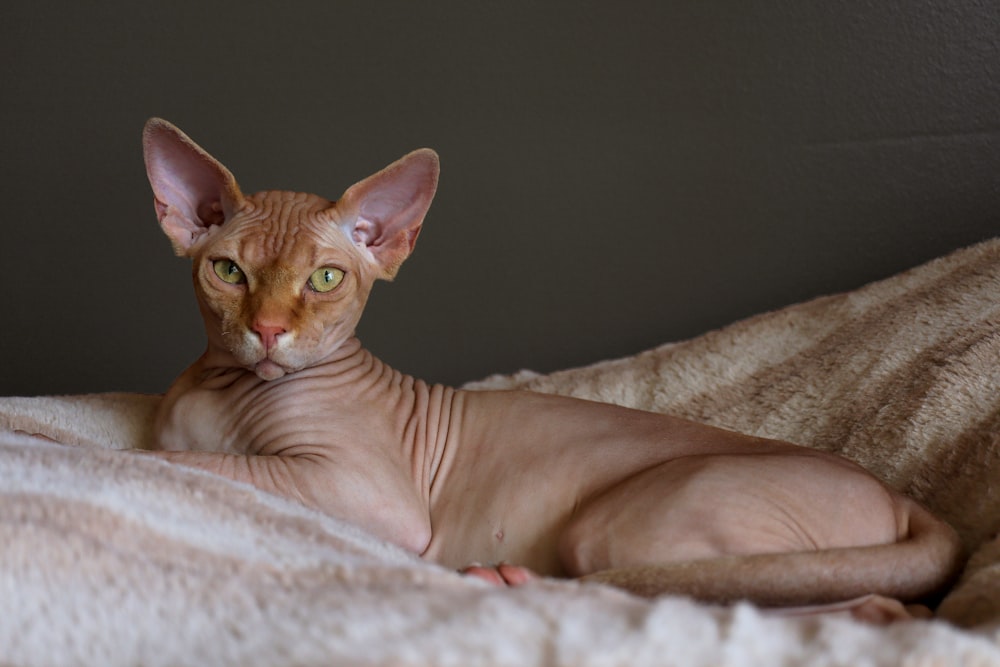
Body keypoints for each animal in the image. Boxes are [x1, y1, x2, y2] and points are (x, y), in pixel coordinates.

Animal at [141, 118, 960, 616]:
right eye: (228, 272)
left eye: (326, 279)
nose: (268, 330)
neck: (231, 389)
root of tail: (900, 497)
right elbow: (183, 456)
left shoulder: (372, 496)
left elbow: (201, 466)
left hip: (623, 527)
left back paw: (512, 578)